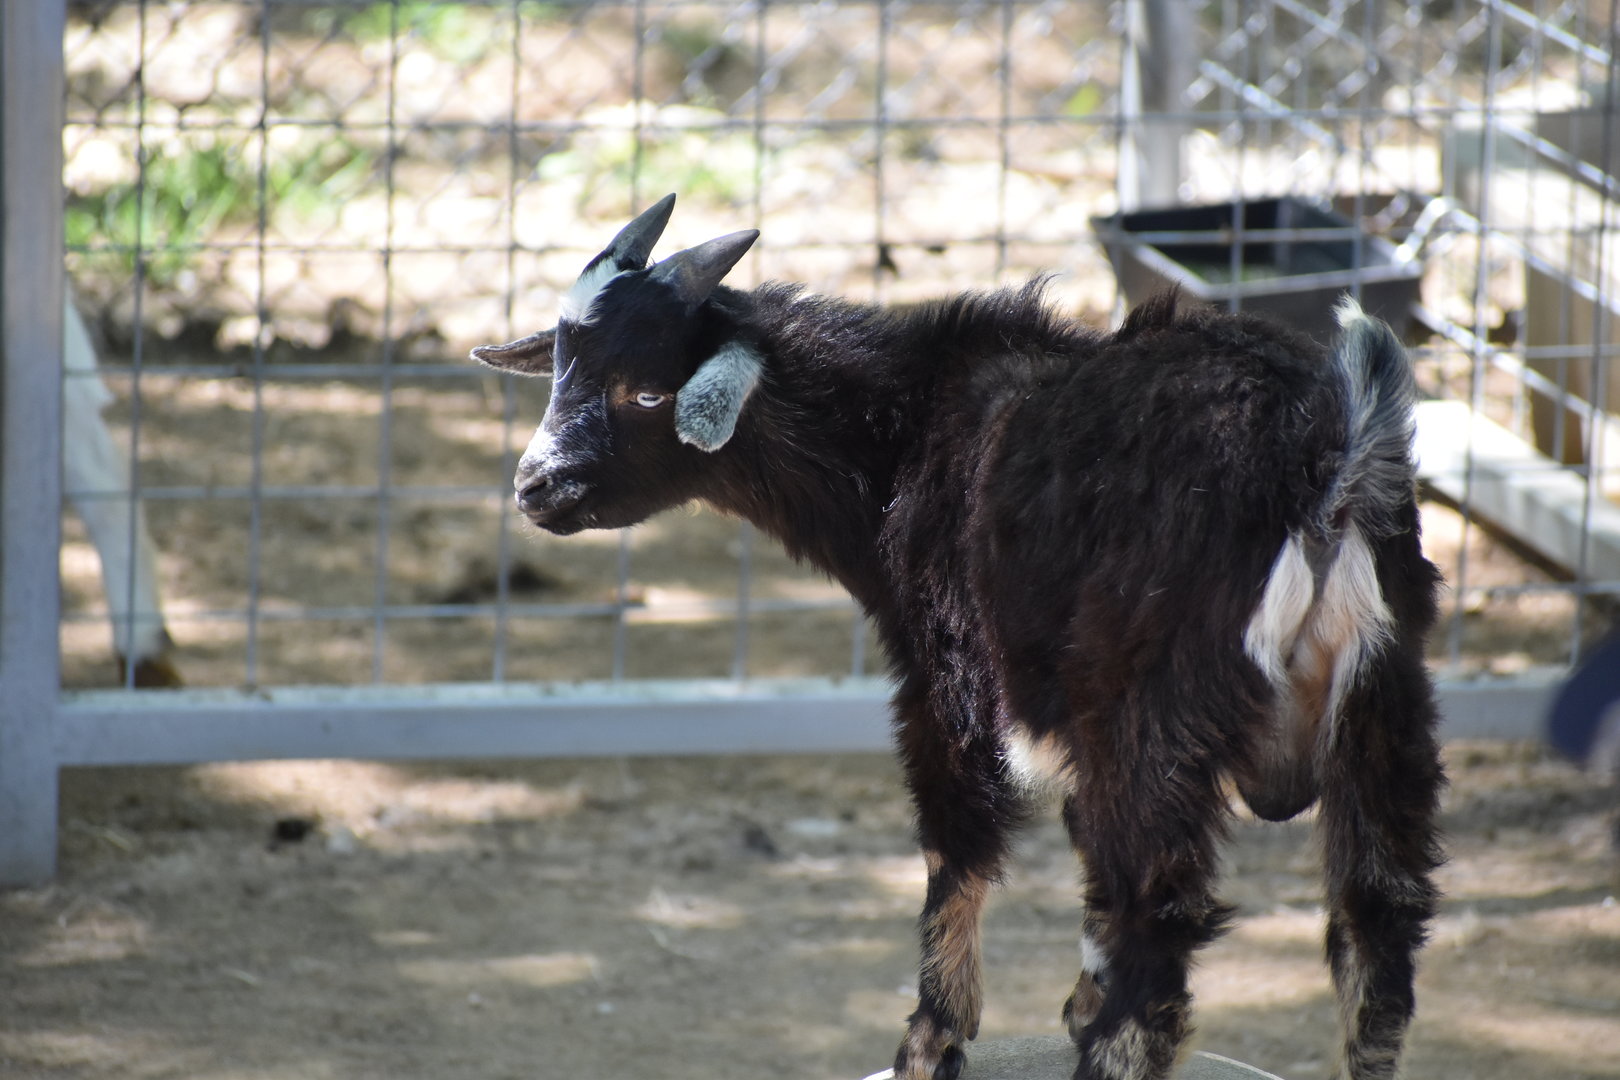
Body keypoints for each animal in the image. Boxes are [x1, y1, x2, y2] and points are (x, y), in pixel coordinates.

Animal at [471, 195, 1445, 1080]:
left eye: (644, 390)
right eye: (558, 370)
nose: (535, 488)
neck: (905, 433)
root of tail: (1325, 467)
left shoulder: (949, 668)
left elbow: (958, 838)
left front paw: (932, 1041)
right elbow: (1080, 837)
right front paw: (1071, 998)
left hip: (1158, 708)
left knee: (1158, 943)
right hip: (1385, 696)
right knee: (1378, 928)